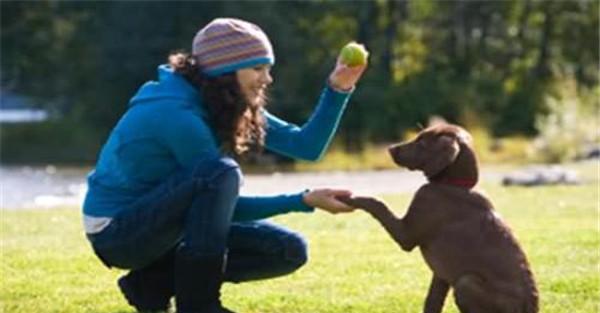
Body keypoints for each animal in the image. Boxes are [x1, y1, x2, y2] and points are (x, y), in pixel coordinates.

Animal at [342, 123, 540, 312]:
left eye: (422, 142)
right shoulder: (441, 274)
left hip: (465, 283)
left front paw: (350, 198)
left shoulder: (406, 234)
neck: (455, 184)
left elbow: (377, 203)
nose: (390, 148)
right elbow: (432, 301)